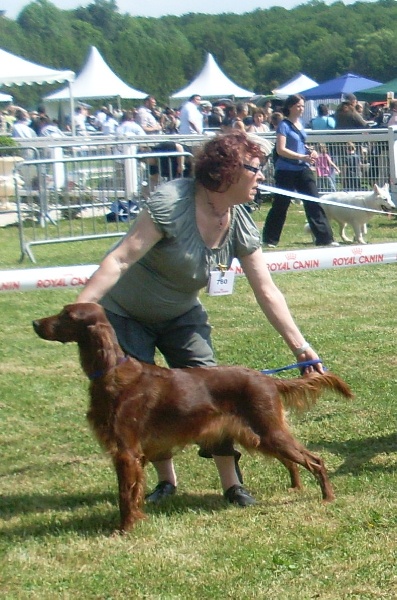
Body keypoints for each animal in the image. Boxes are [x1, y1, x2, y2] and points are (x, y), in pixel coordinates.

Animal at [32, 302, 352, 532]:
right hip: (259, 435)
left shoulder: (126, 451)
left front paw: (124, 529)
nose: (35, 323)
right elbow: (134, 492)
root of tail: (266, 379)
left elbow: (125, 495)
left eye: (67, 315)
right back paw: (297, 487)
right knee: (293, 461)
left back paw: (327, 497)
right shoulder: (133, 454)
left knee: (315, 460)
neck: (112, 372)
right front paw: (138, 519)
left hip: (267, 431)